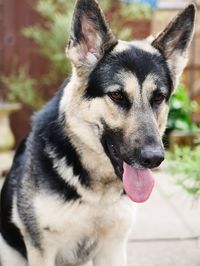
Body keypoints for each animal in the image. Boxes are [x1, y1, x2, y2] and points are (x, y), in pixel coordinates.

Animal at [0, 1, 195, 264]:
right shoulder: (42, 251)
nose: (154, 159)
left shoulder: (113, 247)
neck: (96, 193)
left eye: (158, 97)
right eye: (117, 95)